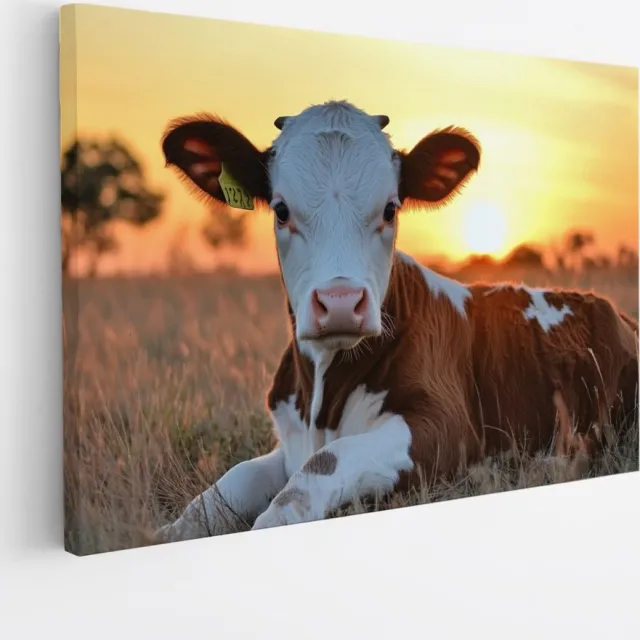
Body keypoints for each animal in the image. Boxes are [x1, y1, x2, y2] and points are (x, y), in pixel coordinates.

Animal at [155, 100, 638, 542]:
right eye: (280, 209)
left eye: (390, 209)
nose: (340, 302)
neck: (321, 400)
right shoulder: (287, 440)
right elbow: (230, 483)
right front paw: (169, 531)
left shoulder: (446, 426)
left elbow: (325, 462)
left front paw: (276, 519)